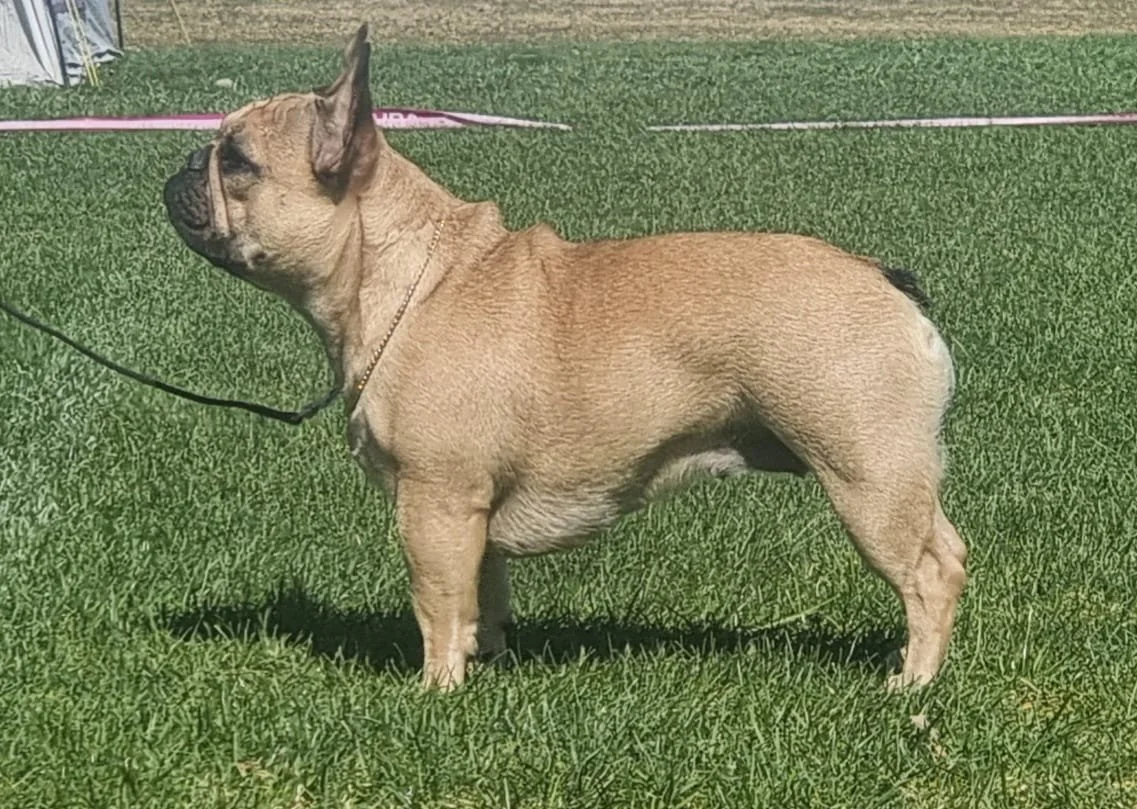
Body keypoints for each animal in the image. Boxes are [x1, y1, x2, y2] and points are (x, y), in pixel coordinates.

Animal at [164, 25, 967, 691]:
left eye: (236, 161)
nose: (181, 167)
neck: (408, 280)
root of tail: (879, 277)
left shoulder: (432, 501)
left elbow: (435, 602)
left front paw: (435, 690)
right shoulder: (471, 510)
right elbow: (480, 596)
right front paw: (482, 662)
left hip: (865, 474)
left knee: (929, 573)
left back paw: (912, 685)